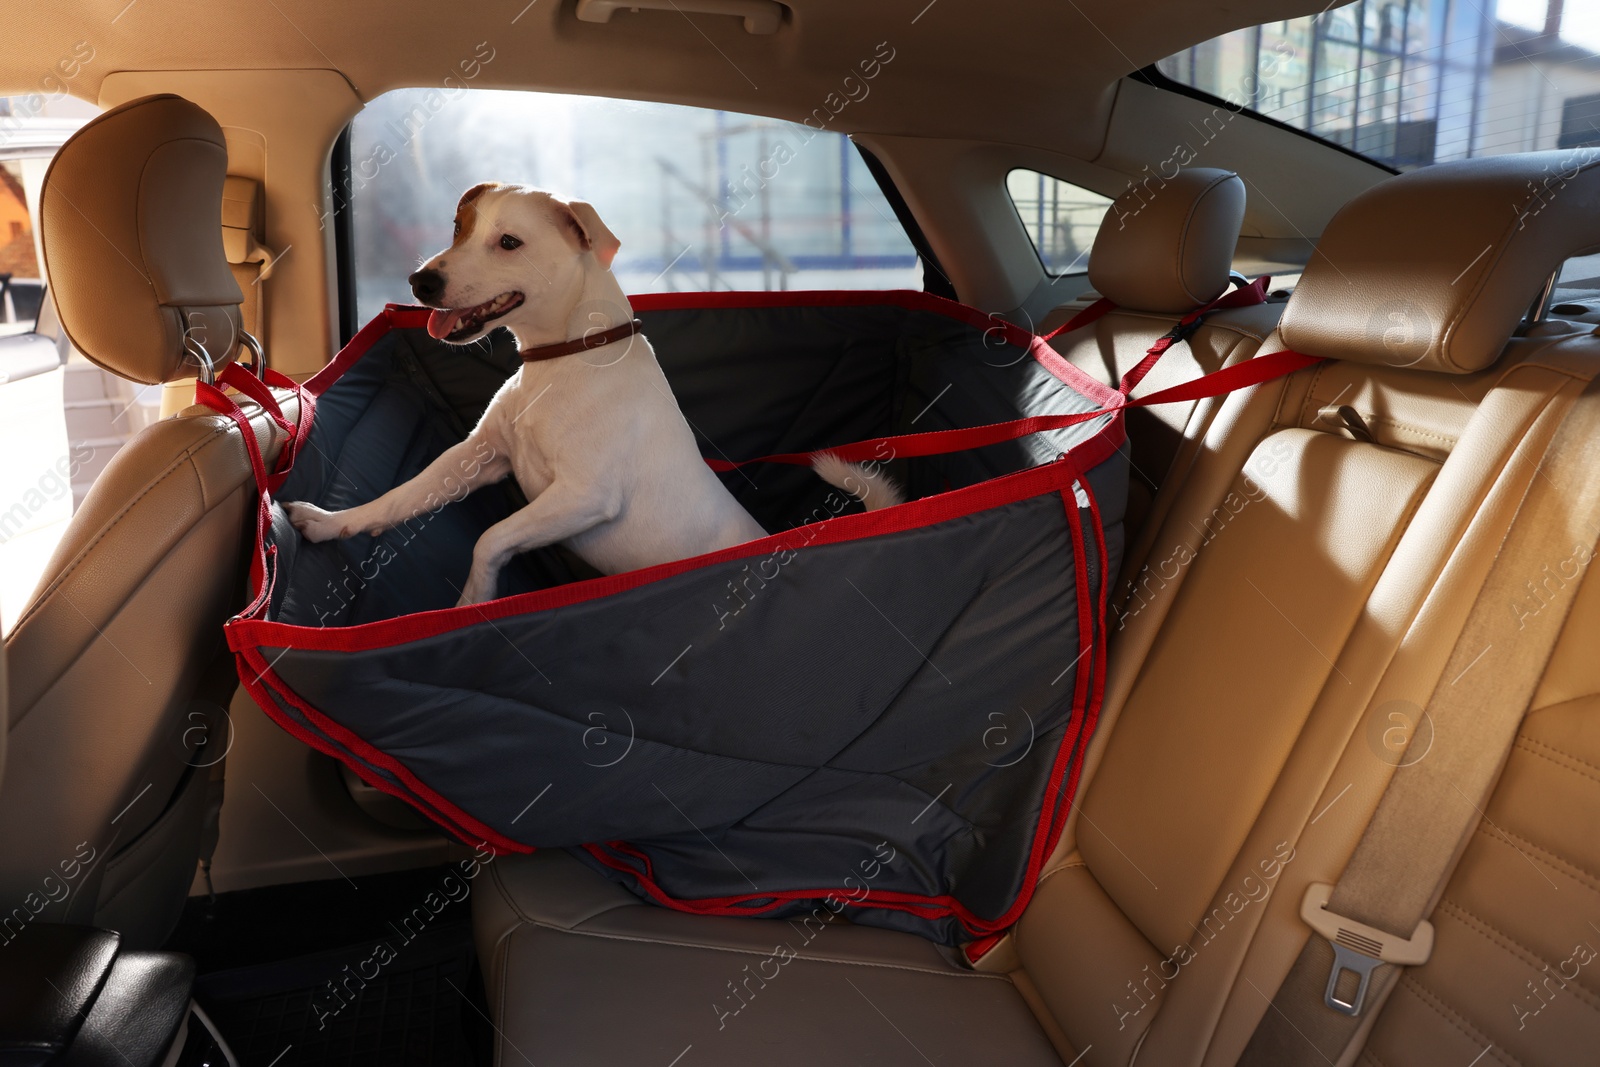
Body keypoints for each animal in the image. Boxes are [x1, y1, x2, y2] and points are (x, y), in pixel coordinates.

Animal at [284, 187, 902, 604]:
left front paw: (471, 604)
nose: (421, 282)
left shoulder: (583, 496)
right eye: (459, 228)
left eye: (508, 242)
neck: (561, 359)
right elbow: (400, 498)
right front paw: (335, 522)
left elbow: (489, 538)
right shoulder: (478, 456)